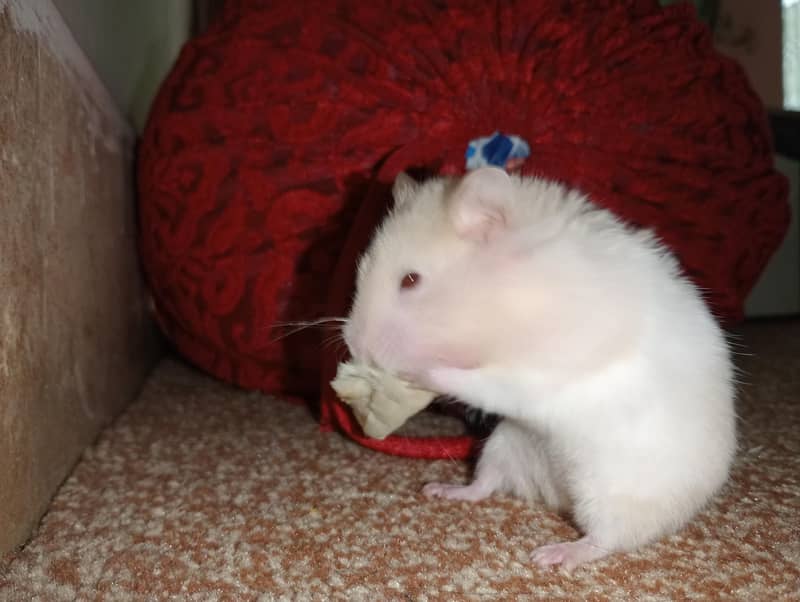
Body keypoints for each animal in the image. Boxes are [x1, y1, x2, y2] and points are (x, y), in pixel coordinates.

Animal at [343, 167, 736, 570]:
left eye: (410, 280)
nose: (355, 348)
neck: (510, 298)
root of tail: (556, 495)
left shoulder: (535, 374)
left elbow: (476, 382)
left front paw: (413, 373)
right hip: (504, 443)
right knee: (484, 484)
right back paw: (442, 490)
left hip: (610, 492)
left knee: (606, 538)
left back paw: (553, 555)